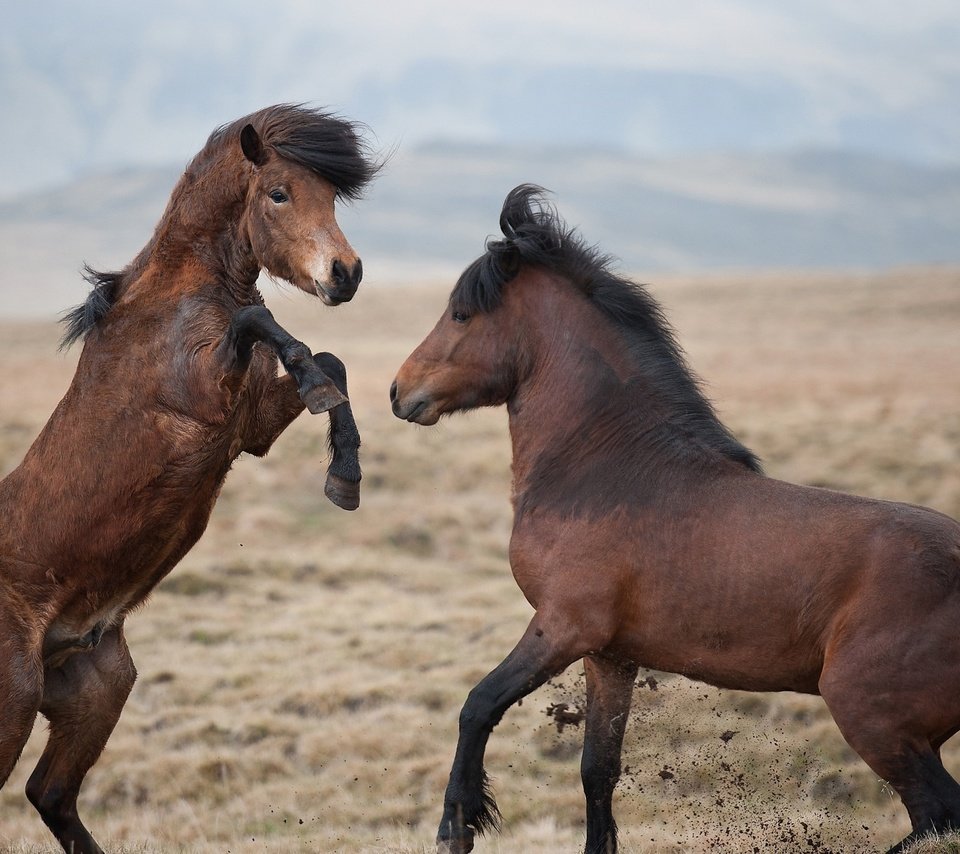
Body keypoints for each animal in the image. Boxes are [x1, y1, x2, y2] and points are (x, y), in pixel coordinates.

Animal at [0, 103, 378, 852]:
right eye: (279, 194)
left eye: (331, 196)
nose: (344, 274)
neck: (175, 300)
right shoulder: (205, 399)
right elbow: (262, 320)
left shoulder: (249, 426)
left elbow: (330, 364)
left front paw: (344, 475)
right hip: (12, 701)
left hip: (98, 688)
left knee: (50, 794)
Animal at [390, 186, 960, 854]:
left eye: (460, 314)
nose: (399, 391)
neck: (608, 464)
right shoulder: (610, 655)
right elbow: (598, 770)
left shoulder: (563, 626)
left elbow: (478, 704)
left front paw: (457, 824)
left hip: (873, 719)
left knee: (936, 816)